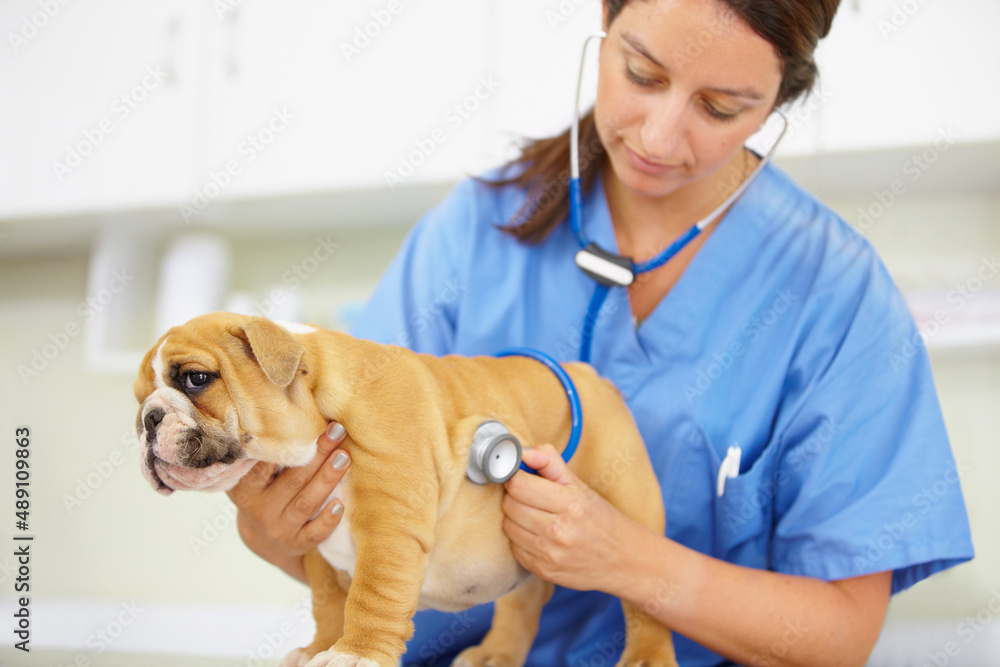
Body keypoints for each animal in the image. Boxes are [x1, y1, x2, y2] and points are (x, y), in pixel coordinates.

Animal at [135, 314, 680, 667]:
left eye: (197, 379)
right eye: (139, 400)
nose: (148, 419)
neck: (317, 406)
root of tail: (594, 376)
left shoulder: (389, 529)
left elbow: (371, 595)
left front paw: (356, 655)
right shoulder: (315, 542)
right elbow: (327, 602)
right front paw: (320, 647)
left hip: (629, 502)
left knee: (647, 594)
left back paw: (645, 657)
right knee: (525, 599)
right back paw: (497, 654)